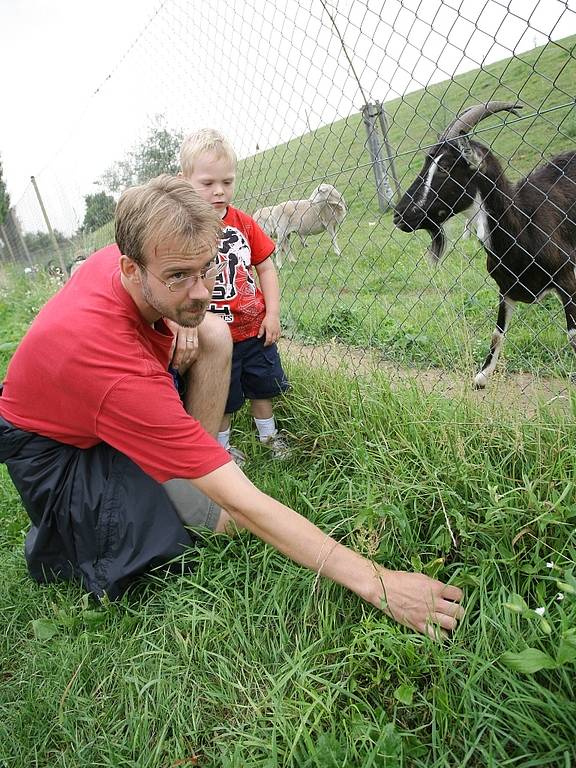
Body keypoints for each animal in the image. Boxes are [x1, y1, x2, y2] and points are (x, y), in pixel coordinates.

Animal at [394, 101, 576, 388]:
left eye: (444, 167)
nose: (399, 215)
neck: (523, 228)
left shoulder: (567, 277)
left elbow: (573, 336)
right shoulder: (506, 289)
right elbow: (497, 334)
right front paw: (481, 376)